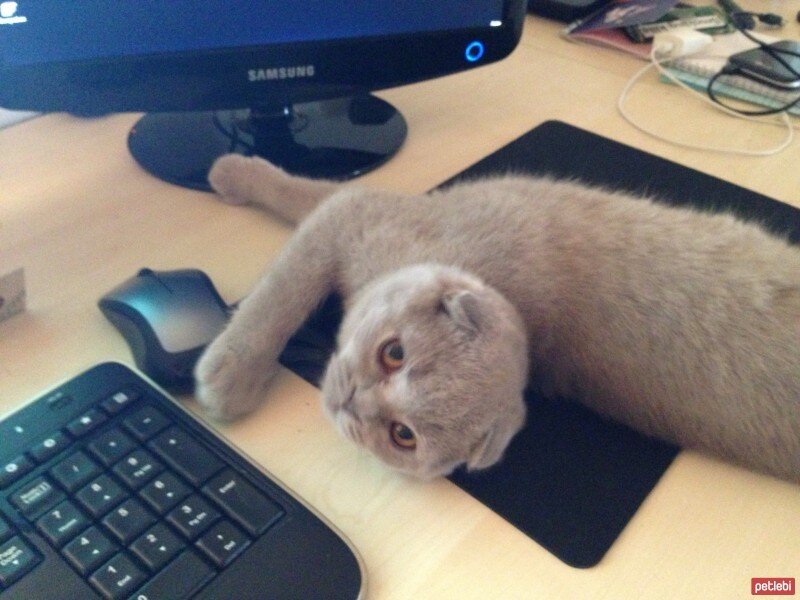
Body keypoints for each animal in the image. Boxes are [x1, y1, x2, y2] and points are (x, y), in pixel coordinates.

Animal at [194, 155, 800, 482]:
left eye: (401, 435)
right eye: (394, 353)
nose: (351, 403)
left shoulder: (356, 213)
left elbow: (295, 250)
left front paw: (225, 379)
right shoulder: (357, 211)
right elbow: (288, 269)